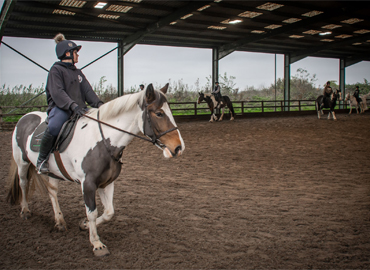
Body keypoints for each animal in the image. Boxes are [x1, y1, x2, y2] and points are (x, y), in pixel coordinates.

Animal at [6, 83, 185, 256]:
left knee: (52, 192)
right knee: (23, 184)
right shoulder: (88, 184)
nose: (178, 147)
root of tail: (25, 117)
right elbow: (91, 212)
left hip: (53, 172)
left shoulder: (107, 183)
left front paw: (84, 225)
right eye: (159, 113)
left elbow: (108, 212)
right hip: (22, 163)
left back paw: (59, 221)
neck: (102, 142)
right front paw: (97, 244)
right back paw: (25, 211)